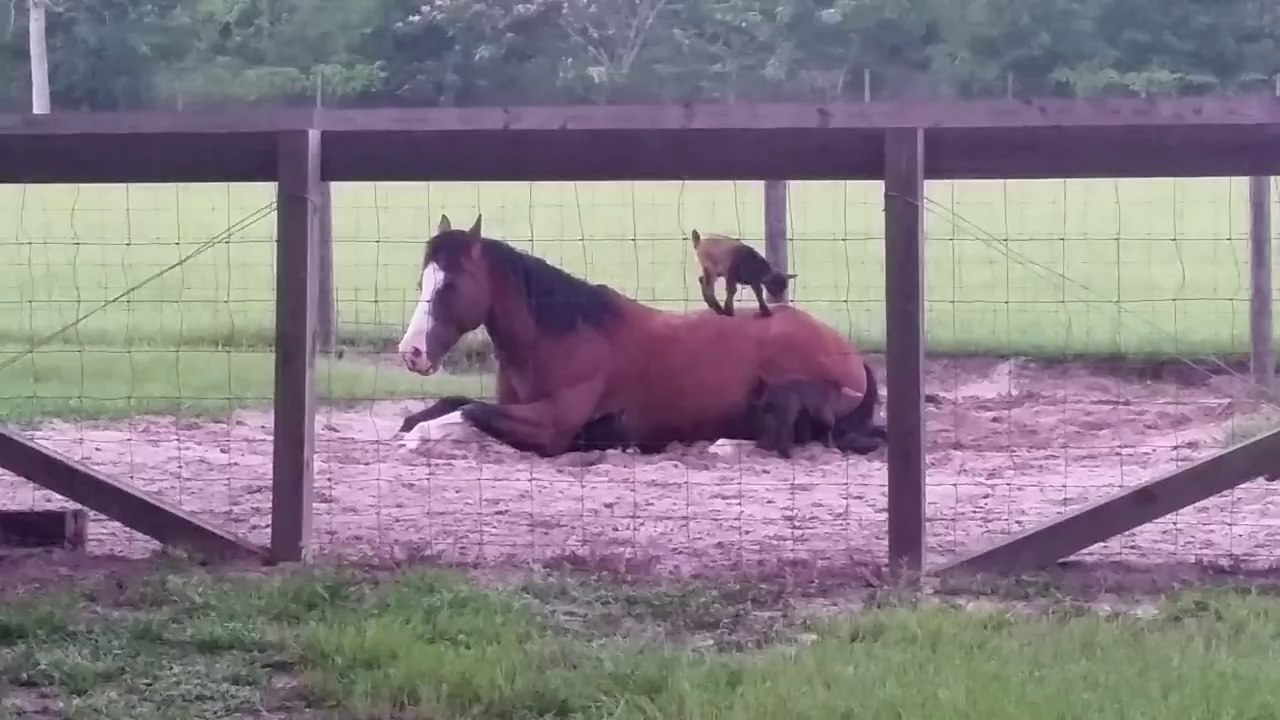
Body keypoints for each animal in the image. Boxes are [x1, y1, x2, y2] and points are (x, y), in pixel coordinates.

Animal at [395, 213, 885, 458]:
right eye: (422, 282)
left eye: (450, 286)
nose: (412, 353)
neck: (565, 334)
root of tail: (849, 354)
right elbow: (457, 403)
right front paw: (414, 423)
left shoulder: (552, 426)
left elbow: (470, 412)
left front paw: (421, 435)